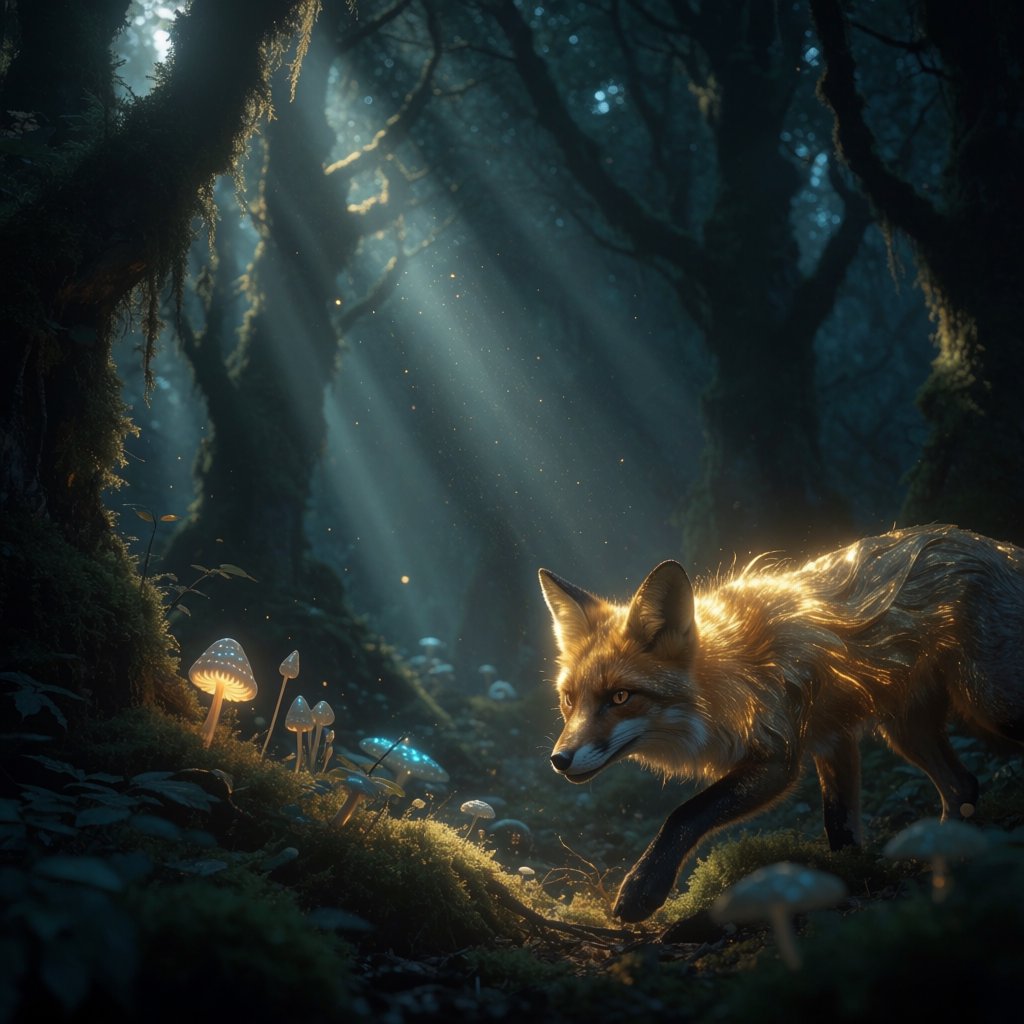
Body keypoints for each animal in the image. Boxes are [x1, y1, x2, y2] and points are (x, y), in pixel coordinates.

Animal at [538, 524, 1024, 923]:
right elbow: (839, 826)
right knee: (963, 786)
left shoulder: (780, 754)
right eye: (569, 699)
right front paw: (846, 879)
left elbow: (685, 813)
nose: (559, 759)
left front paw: (642, 887)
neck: (723, 679)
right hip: (907, 731)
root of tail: (998, 545)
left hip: (991, 705)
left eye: (620, 697)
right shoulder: (832, 737)